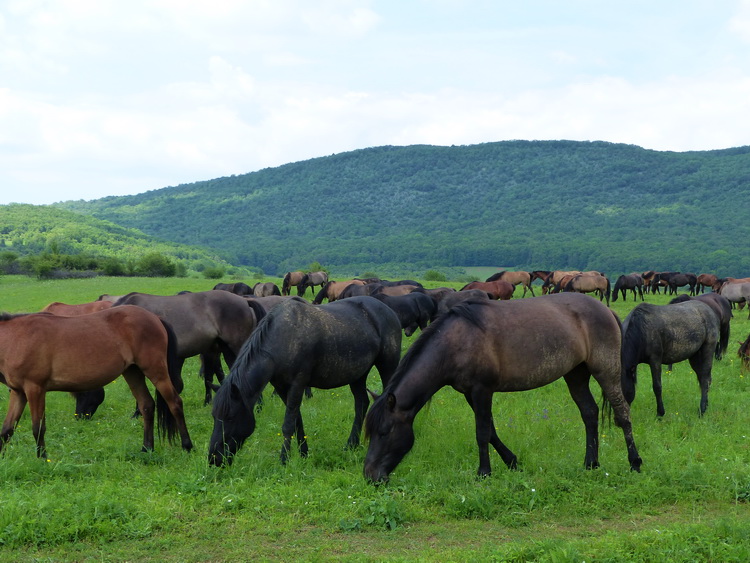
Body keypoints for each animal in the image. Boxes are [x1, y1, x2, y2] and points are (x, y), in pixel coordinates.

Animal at [0, 304, 194, 458]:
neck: (16, 339)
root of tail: (155, 318)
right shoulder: (18, 392)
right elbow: (7, 430)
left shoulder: (35, 389)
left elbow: (38, 428)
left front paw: (42, 459)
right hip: (133, 373)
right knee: (146, 405)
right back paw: (147, 449)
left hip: (156, 371)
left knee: (175, 403)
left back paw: (187, 446)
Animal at [206, 296, 406, 468]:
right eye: (214, 416)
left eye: (230, 417)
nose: (214, 458)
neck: (283, 337)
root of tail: (390, 311)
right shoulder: (281, 387)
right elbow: (297, 421)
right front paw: (303, 453)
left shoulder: (298, 384)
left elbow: (288, 424)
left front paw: (284, 460)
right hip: (358, 375)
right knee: (361, 403)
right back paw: (351, 445)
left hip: (388, 366)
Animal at [362, 294, 644, 482]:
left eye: (385, 432)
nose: (370, 475)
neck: (455, 342)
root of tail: (606, 310)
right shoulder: (470, 393)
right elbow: (491, 431)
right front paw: (512, 462)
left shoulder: (482, 390)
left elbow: (482, 433)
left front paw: (484, 473)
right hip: (576, 374)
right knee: (589, 413)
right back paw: (590, 464)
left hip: (605, 371)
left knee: (622, 413)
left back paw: (635, 463)